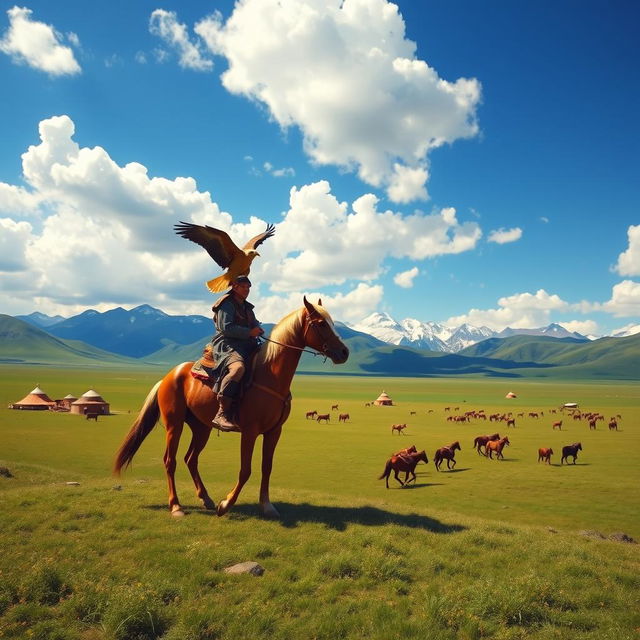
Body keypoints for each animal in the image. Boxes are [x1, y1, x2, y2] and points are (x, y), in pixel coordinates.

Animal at [112, 298, 348, 516]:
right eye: (321, 324)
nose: (344, 352)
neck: (270, 374)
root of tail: (167, 377)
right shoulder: (250, 431)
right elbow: (245, 470)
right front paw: (225, 504)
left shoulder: (274, 431)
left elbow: (267, 467)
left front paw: (267, 505)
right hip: (174, 425)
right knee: (170, 461)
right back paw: (176, 506)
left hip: (202, 428)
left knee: (191, 459)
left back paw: (206, 498)